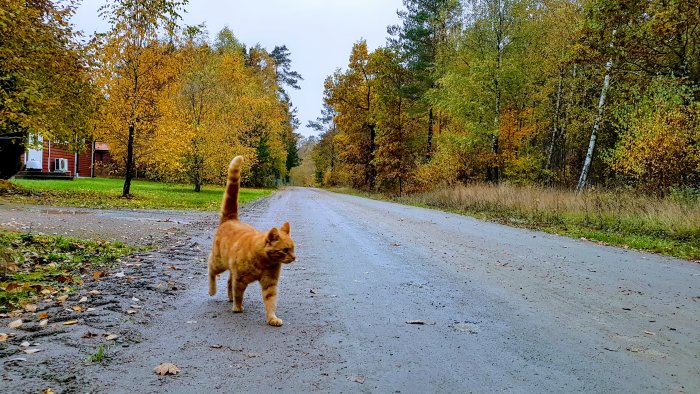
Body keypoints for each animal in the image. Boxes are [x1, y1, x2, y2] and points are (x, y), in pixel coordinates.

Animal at [208, 156, 296, 326]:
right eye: (285, 250)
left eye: (294, 249)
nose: (295, 257)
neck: (264, 262)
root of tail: (231, 219)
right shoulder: (240, 279)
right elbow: (238, 294)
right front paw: (237, 307)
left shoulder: (270, 284)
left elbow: (270, 302)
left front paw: (272, 318)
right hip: (219, 262)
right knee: (210, 269)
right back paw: (212, 290)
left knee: (228, 281)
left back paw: (228, 298)